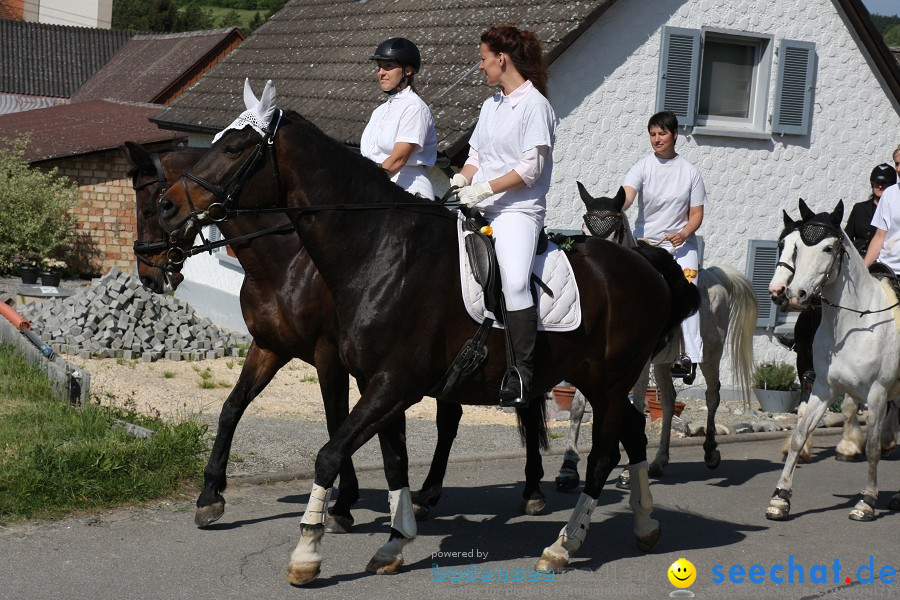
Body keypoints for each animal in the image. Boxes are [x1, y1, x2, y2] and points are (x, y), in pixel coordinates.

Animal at [119, 142, 540, 536]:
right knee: (455, 416)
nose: (148, 275)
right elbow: (232, 407)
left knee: (506, 409)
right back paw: (430, 495)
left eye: (153, 208)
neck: (286, 261)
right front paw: (210, 495)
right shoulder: (270, 347)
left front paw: (343, 502)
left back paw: (531, 491)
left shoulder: (329, 356)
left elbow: (335, 420)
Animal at [560, 184, 756, 492]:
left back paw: (710, 452)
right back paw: (659, 461)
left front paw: (626, 472)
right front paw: (568, 468)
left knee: (712, 395)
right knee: (668, 401)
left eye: (616, 231)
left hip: (711, 355)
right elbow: (579, 407)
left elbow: (637, 408)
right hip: (663, 364)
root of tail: (715, 276)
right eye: (584, 227)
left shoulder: (637, 367)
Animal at [768, 202, 900, 520]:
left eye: (829, 248)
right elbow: (800, 431)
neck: (856, 322)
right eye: (787, 246)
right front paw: (780, 498)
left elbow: (873, 447)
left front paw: (866, 501)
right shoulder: (822, 385)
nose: (791, 294)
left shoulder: (877, 393)